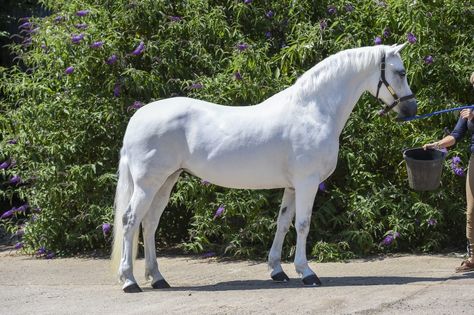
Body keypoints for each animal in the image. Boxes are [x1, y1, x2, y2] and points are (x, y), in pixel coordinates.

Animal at [110, 43, 414, 292]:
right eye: (400, 72)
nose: (411, 109)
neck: (313, 110)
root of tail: (138, 117)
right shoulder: (307, 182)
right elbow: (303, 225)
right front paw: (307, 273)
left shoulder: (293, 185)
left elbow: (283, 223)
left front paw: (277, 270)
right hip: (148, 184)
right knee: (130, 221)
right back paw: (129, 281)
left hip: (166, 181)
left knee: (150, 223)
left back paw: (157, 278)